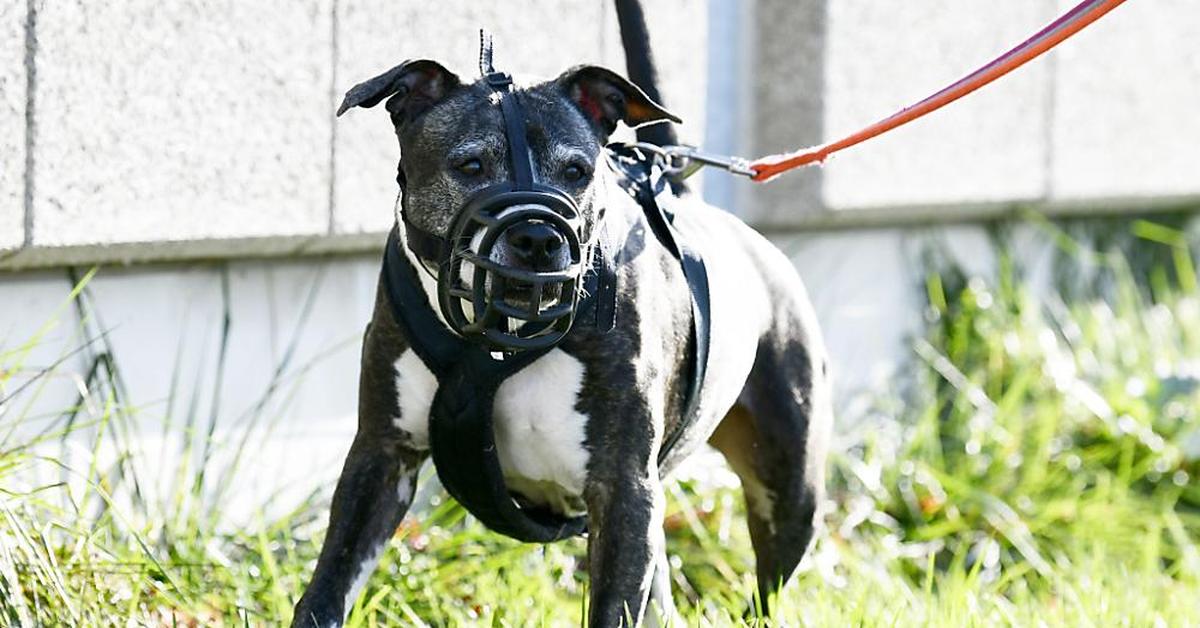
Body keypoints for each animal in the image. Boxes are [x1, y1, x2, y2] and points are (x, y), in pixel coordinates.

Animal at [295, 34, 830, 628]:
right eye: (471, 164)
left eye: (577, 171)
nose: (537, 235)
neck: (498, 336)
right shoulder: (381, 456)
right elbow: (328, 585)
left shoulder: (623, 491)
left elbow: (612, 606)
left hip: (790, 487)